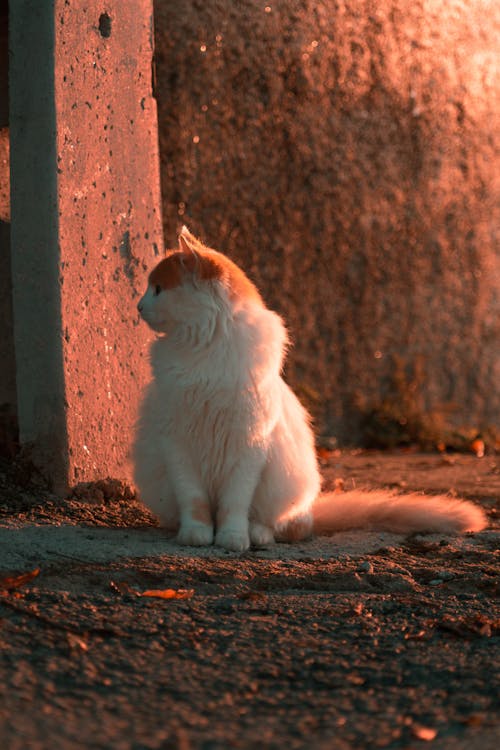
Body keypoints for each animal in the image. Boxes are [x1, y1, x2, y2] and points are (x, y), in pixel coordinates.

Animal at [134, 228, 488, 552]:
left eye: (158, 289)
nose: (138, 306)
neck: (203, 348)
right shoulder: (178, 444)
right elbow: (194, 502)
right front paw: (196, 535)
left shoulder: (248, 445)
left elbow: (235, 504)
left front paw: (233, 539)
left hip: (286, 480)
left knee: (280, 523)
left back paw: (258, 535)